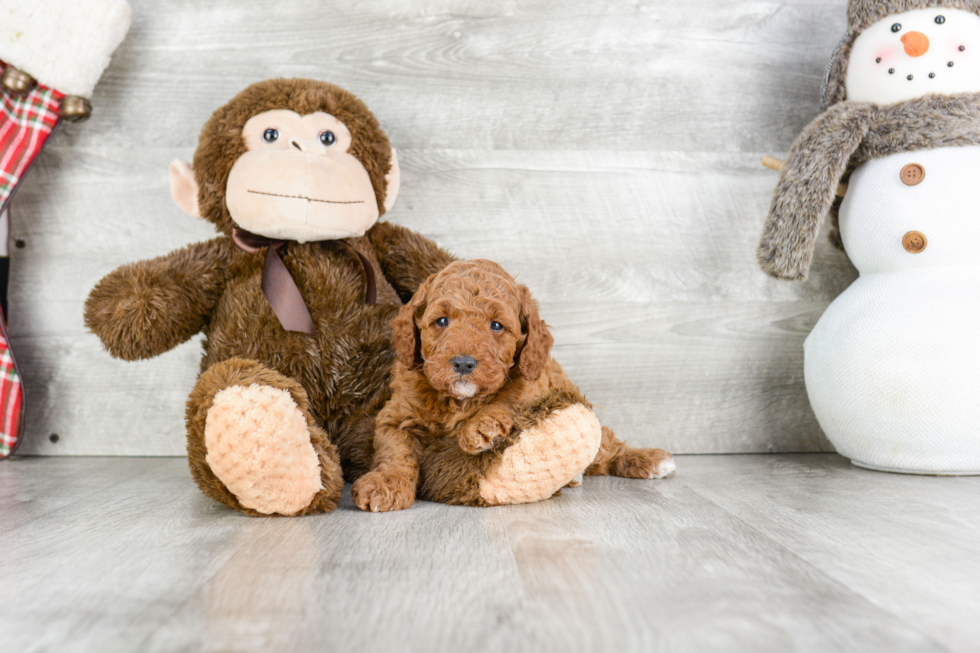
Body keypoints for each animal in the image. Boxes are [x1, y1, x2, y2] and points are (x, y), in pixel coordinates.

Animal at [352, 258, 672, 512]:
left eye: (496, 325)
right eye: (441, 321)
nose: (463, 364)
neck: (459, 402)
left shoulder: (533, 388)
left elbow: (507, 401)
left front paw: (483, 428)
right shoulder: (396, 415)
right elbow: (395, 452)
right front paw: (385, 484)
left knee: (607, 446)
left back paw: (649, 460)